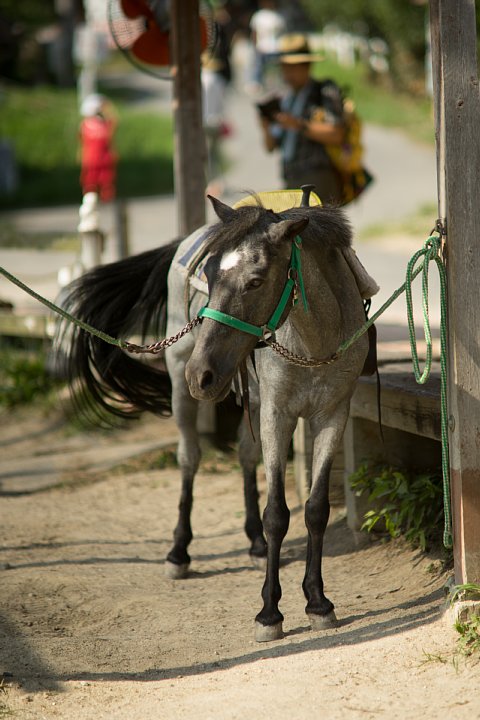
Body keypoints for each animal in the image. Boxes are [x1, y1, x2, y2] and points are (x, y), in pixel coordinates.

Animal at [58, 195, 376, 640]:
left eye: (256, 280)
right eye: (208, 274)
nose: (201, 374)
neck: (315, 341)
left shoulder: (332, 414)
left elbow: (315, 510)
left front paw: (317, 601)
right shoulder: (278, 413)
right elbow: (278, 513)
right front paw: (269, 612)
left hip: (248, 397)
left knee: (244, 457)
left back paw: (256, 544)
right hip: (181, 383)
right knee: (189, 458)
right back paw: (179, 552)